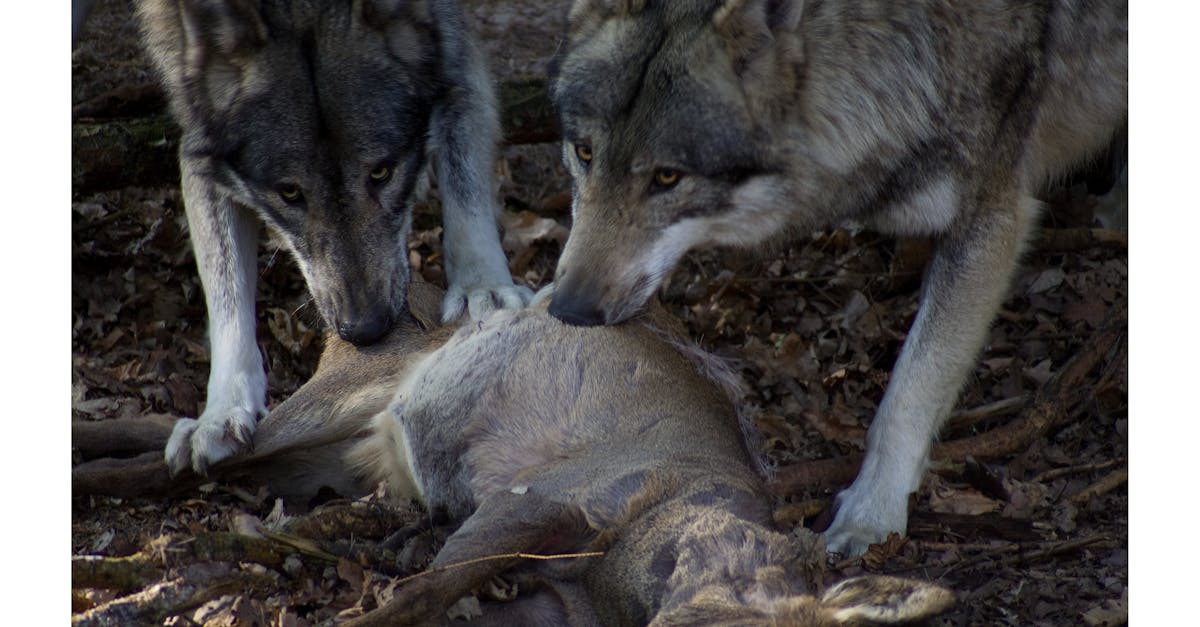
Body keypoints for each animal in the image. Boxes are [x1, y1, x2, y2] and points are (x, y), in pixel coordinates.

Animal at [133, 0, 531, 476]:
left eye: (382, 172)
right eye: (289, 193)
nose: (365, 332)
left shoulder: (448, 38)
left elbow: (464, 180)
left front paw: (481, 290)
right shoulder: (196, 112)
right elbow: (226, 292)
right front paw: (222, 413)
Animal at [544, 0, 1127, 555]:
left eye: (667, 177)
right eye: (584, 152)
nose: (567, 311)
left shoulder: (994, 217)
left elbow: (911, 390)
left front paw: (872, 515)